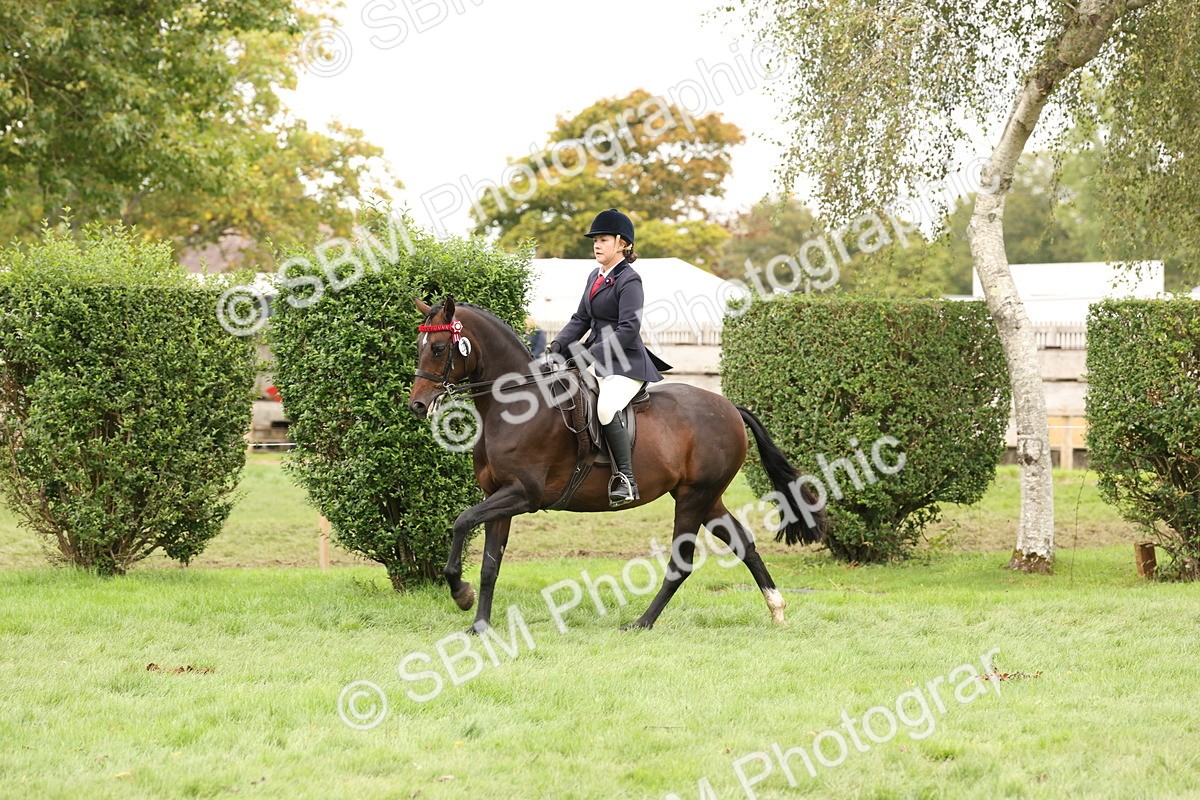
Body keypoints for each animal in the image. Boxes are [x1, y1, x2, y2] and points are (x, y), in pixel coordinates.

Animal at [408, 295, 826, 632]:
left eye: (440, 348)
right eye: (419, 345)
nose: (417, 404)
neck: (514, 406)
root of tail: (729, 407)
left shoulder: (522, 495)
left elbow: (461, 522)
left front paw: (459, 593)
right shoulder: (498, 495)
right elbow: (490, 564)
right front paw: (479, 625)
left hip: (694, 497)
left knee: (681, 564)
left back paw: (641, 622)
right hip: (707, 498)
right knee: (743, 542)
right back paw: (776, 609)